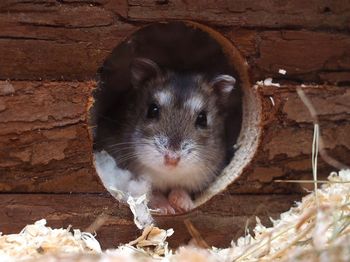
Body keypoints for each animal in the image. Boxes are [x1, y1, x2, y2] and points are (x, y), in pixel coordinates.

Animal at [97, 57, 237, 215]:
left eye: (203, 119)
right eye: (152, 110)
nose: (172, 159)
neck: (169, 175)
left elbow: (182, 189)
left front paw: (183, 205)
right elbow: (152, 193)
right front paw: (167, 209)